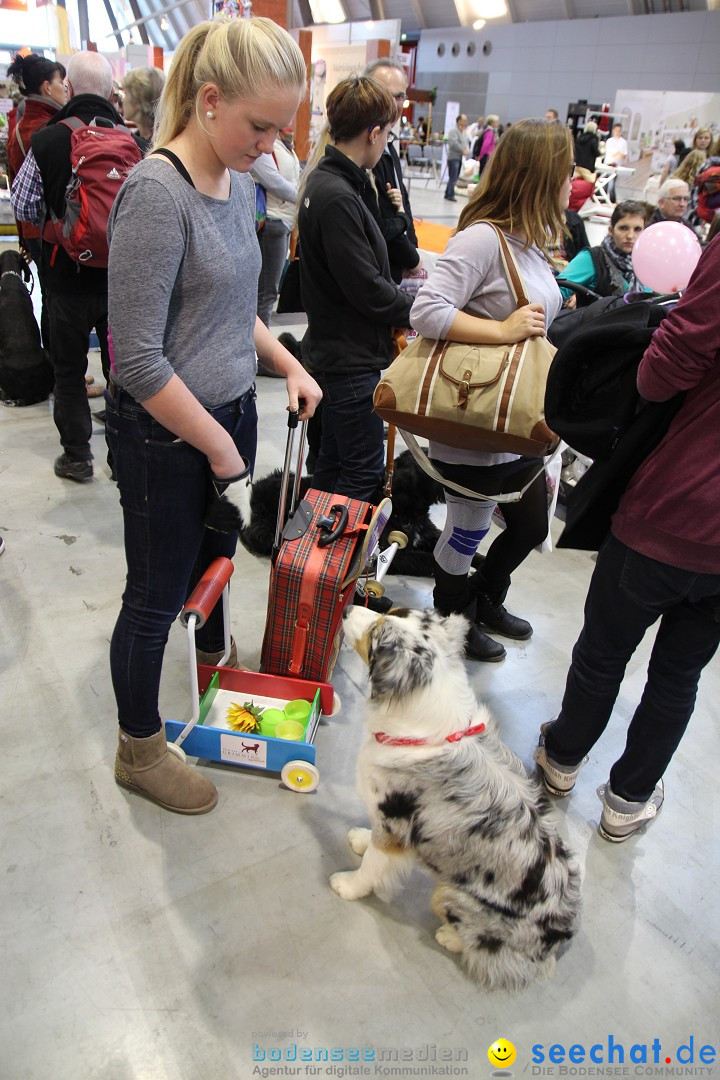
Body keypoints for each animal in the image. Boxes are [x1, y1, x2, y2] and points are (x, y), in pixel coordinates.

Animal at [334, 604, 582, 989]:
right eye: (392, 611)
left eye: (376, 633)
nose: (347, 607)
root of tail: (552, 946)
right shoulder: (385, 820)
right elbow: (372, 842)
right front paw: (361, 838)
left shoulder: (396, 822)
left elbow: (373, 865)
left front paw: (347, 885)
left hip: (450, 893)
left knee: (481, 948)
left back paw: (449, 937)